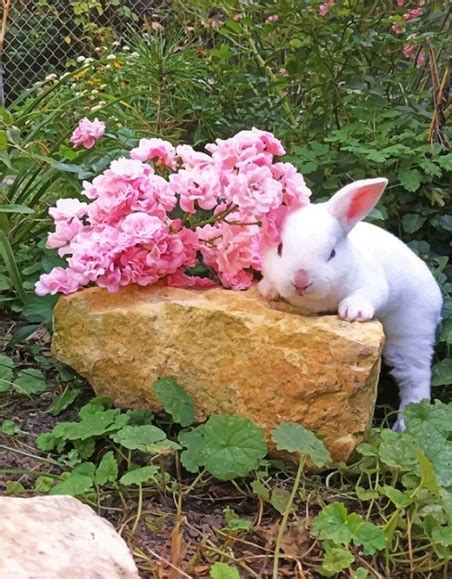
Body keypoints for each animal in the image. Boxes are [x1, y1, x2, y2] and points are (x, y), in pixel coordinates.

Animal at [260, 177, 444, 430]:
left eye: (332, 253)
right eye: (279, 248)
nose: (301, 280)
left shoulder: (372, 284)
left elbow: (366, 295)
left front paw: (353, 312)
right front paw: (268, 290)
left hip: (412, 332)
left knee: (416, 378)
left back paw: (403, 426)